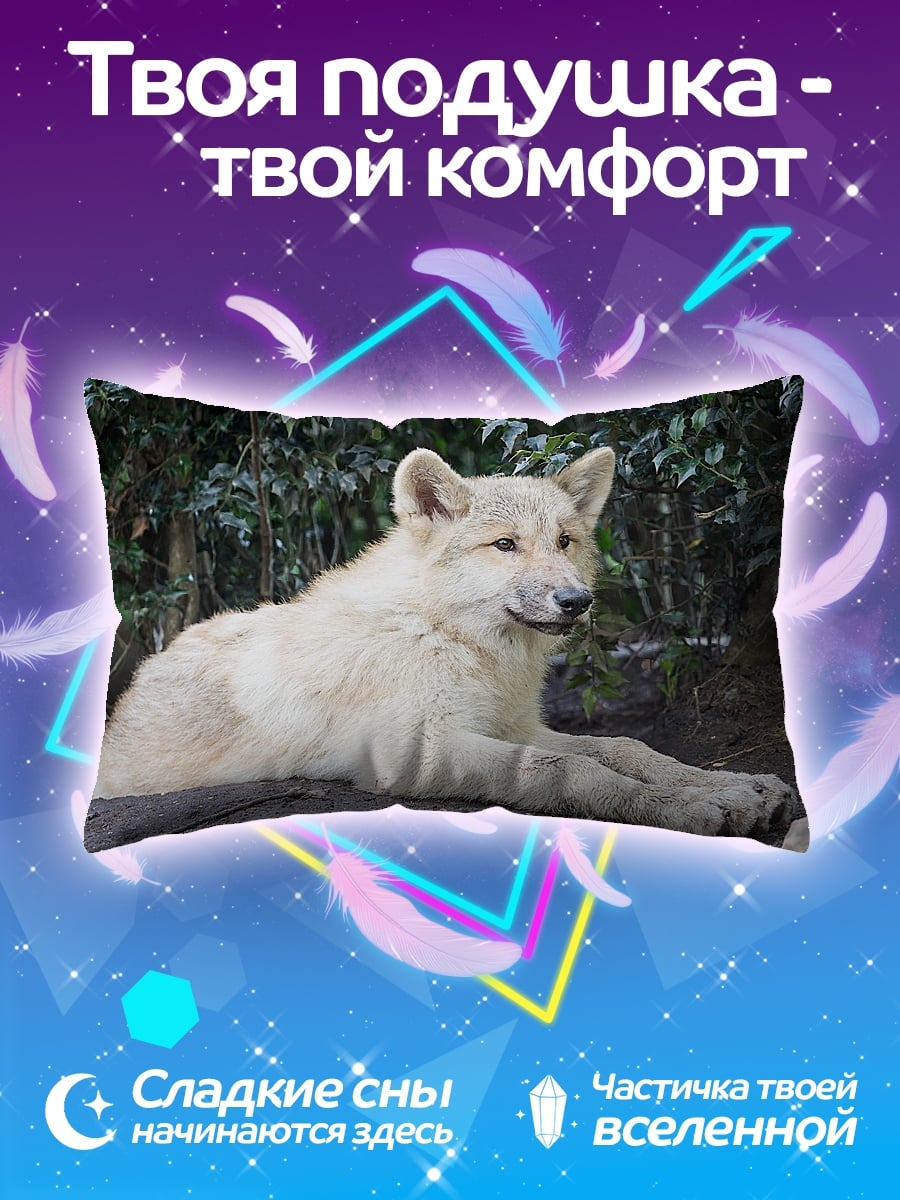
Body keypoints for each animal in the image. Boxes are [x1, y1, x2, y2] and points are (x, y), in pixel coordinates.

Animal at [95, 446, 801, 843]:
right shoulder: (413, 755)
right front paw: (696, 808)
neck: (452, 639)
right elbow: (566, 769)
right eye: (505, 545)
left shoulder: (512, 726)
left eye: (565, 542)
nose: (577, 601)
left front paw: (733, 789)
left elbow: (625, 747)